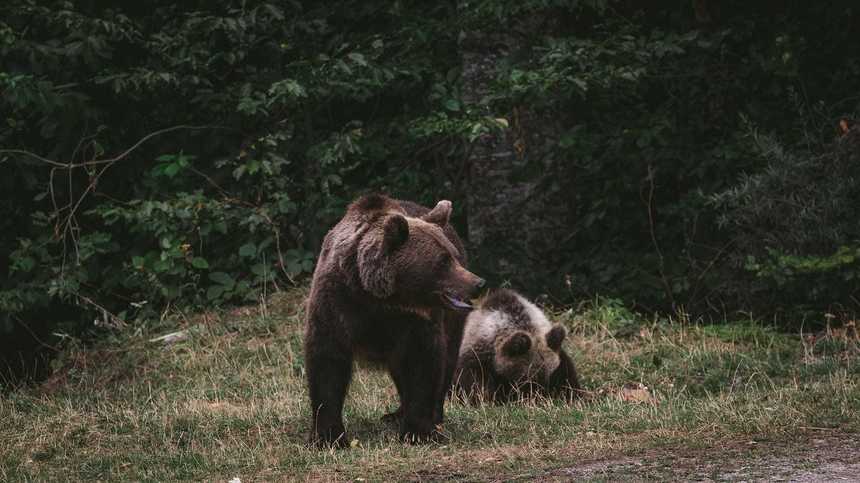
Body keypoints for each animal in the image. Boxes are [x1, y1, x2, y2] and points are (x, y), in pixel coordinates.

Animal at [304, 193, 484, 446]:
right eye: (442, 261)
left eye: (453, 257)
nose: (478, 283)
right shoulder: (336, 304)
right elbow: (327, 363)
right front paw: (328, 436)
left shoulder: (415, 322)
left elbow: (423, 365)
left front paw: (418, 431)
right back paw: (396, 413)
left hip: (451, 321)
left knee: (446, 360)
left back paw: (431, 416)